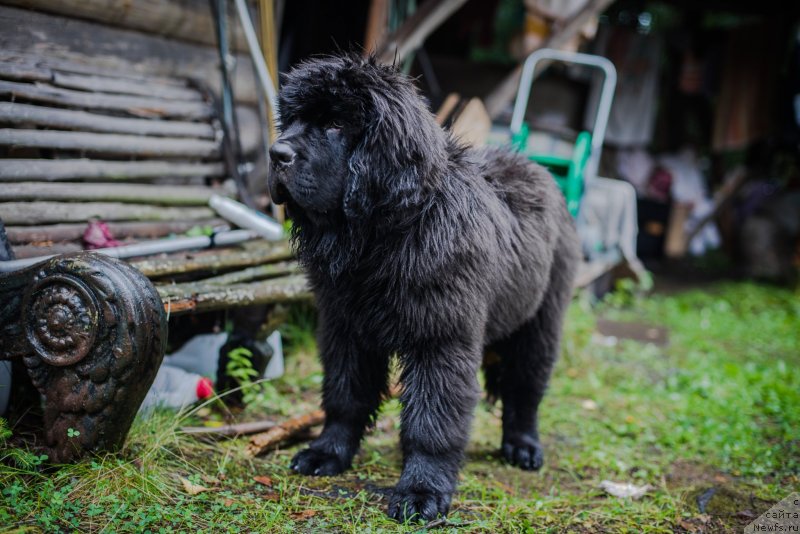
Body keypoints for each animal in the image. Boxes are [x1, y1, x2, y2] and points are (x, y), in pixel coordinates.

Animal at [272, 54, 580, 524]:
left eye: (336, 124)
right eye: (292, 121)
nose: (276, 154)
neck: (383, 239)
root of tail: (537, 168)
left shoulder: (441, 338)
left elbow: (432, 422)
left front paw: (421, 491)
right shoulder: (344, 326)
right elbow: (344, 393)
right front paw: (327, 452)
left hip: (540, 320)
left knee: (525, 389)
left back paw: (523, 446)